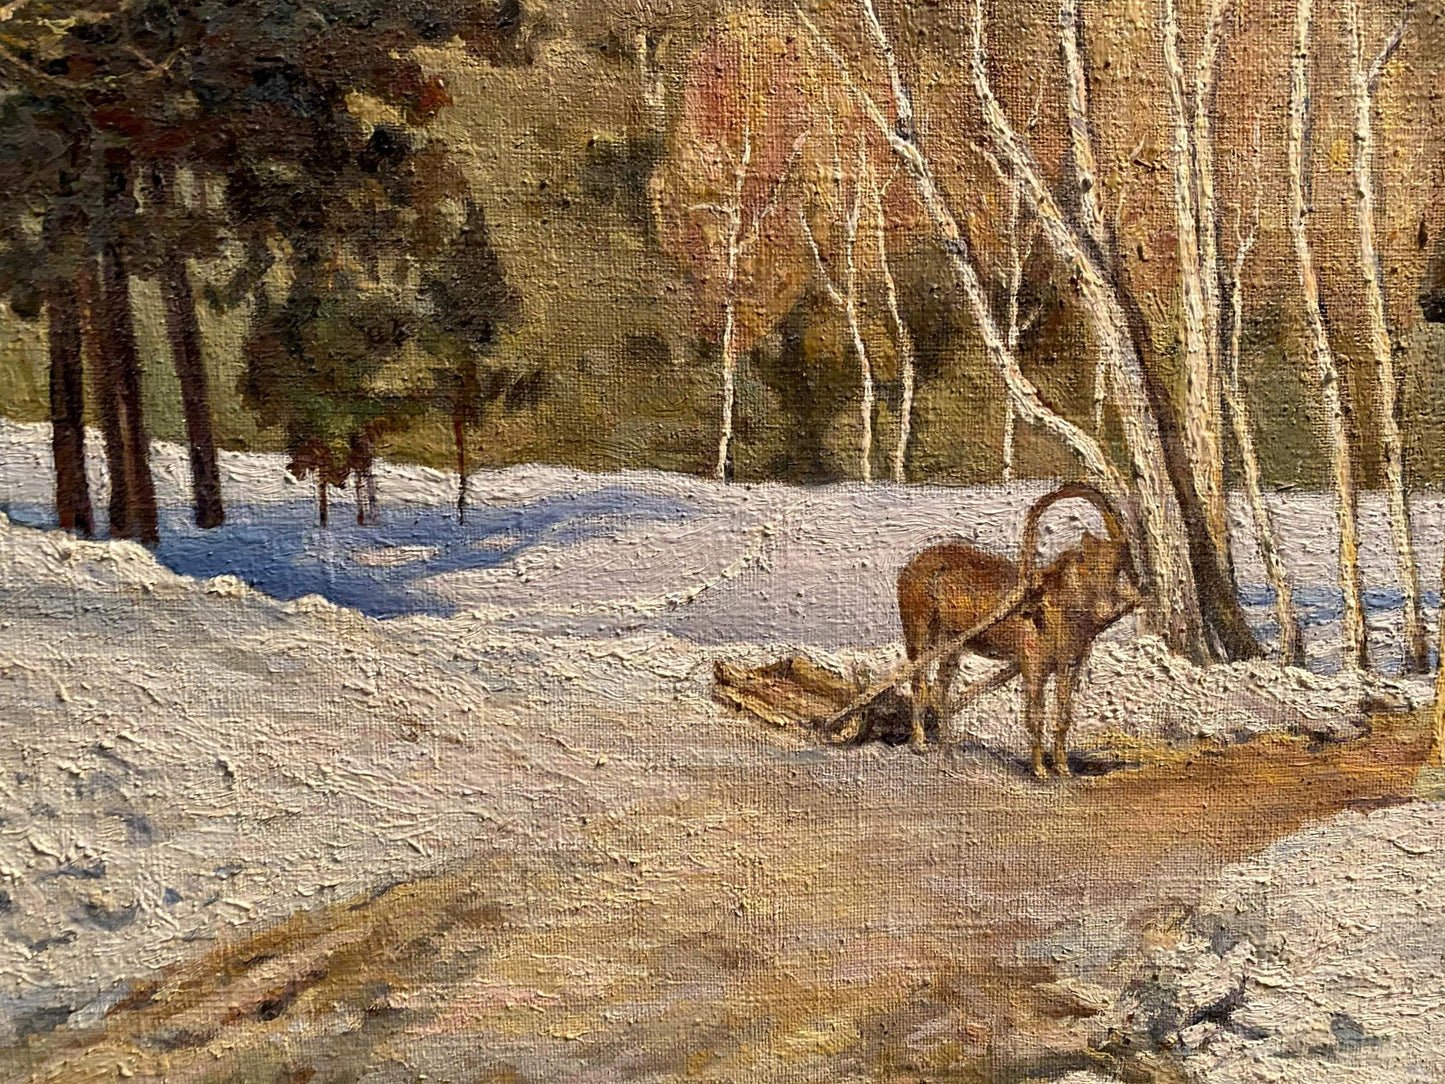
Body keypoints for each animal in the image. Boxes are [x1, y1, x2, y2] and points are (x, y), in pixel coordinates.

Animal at [895, 484, 1144, 777]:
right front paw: (1039, 769)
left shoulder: (1070, 665)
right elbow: (1035, 716)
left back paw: (947, 744)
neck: (1054, 607)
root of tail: (914, 563)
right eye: (1090, 567)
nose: (1106, 611)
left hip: (952, 643)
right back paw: (919, 742)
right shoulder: (1032, 667)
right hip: (919, 635)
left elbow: (1064, 715)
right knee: (919, 683)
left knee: (941, 688)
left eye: (1116, 569)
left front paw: (1062, 766)